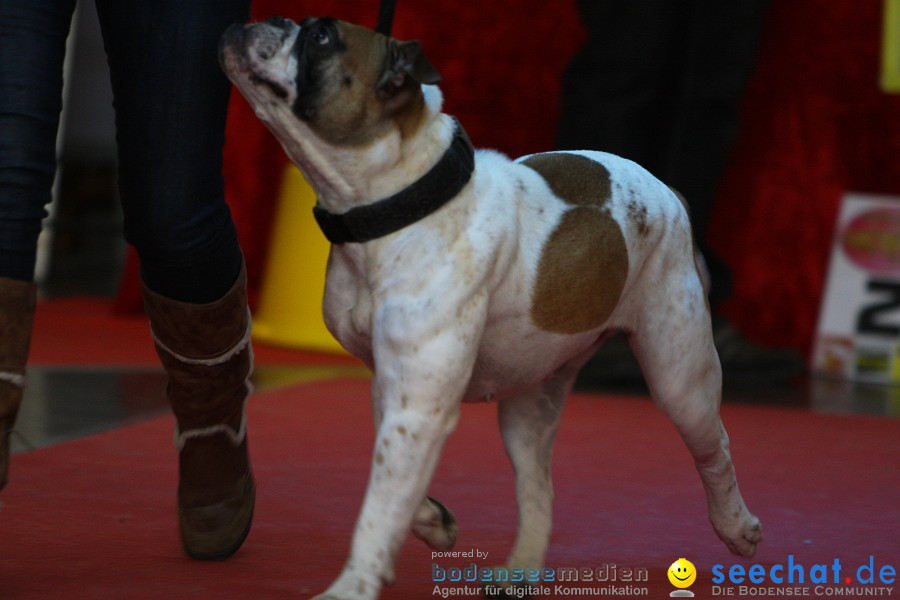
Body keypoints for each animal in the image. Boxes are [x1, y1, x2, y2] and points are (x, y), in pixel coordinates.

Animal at [218, 17, 760, 600]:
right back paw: (521, 569)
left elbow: (378, 509)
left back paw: (736, 525)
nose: (263, 22)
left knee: (714, 448)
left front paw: (353, 587)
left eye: (320, 38)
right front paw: (431, 518)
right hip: (530, 408)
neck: (401, 201)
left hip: (680, 380)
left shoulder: (418, 407)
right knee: (538, 486)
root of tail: (668, 191)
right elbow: (395, 487)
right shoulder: (400, 396)